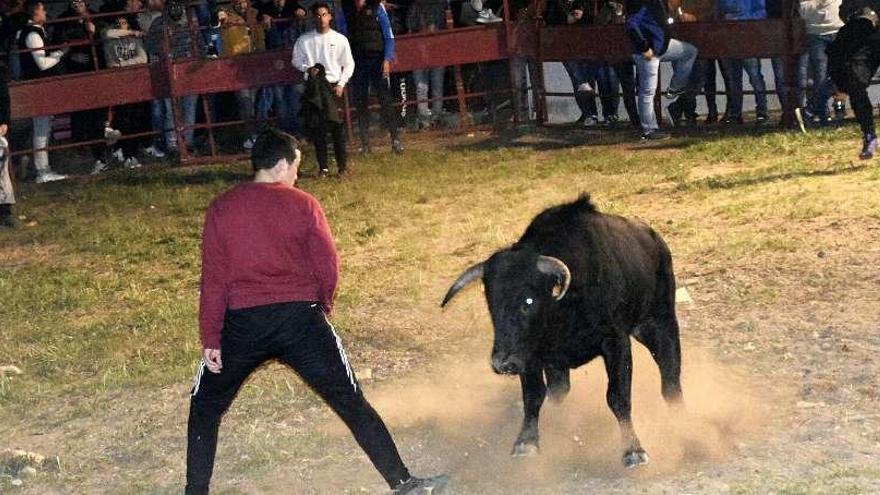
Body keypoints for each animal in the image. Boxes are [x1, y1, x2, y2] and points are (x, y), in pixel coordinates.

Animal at [444, 196, 684, 466]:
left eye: (528, 300)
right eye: (490, 301)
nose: (502, 363)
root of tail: (655, 239)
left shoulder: (616, 343)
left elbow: (618, 397)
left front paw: (633, 449)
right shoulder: (532, 355)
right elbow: (534, 395)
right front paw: (526, 442)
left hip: (660, 323)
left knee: (670, 377)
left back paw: (680, 419)